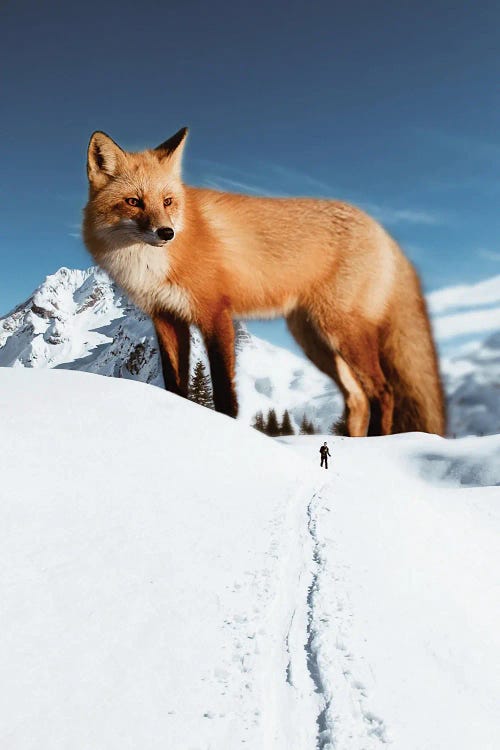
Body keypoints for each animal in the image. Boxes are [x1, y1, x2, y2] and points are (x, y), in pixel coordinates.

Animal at [83, 128, 446, 434]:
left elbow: (225, 391)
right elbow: (176, 385)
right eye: (134, 201)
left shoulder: (215, 313)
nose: (166, 233)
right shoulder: (167, 318)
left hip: (343, 332)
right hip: (315, 341)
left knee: (383, 392)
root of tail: (381, 230)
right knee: (357, 399)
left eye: (168, 201)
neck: (151, 265)